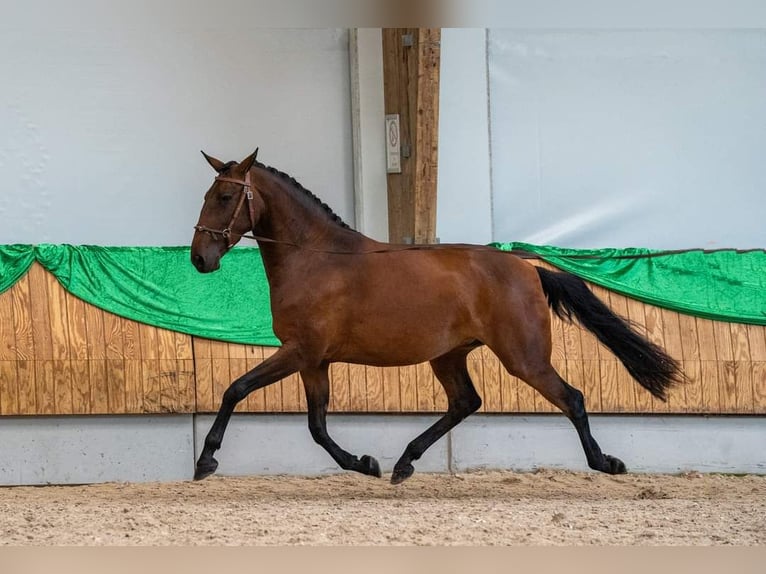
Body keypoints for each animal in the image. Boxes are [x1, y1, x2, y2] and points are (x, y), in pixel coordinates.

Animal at [192, 150, 684, 486]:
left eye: (226, 195)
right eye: (207, 195)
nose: (199, 259)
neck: (314, 258)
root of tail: (528, 268)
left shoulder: (299, 352)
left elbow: (236, 390)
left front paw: (205, 460)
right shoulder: (314, 361)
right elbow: (316, 426)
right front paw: (365, 464)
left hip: (524, 358)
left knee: (573, 399)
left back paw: (605, 463)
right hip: (449, 356)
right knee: (465, 402)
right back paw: (403, 462)